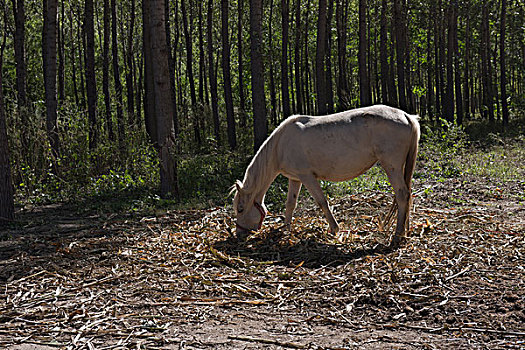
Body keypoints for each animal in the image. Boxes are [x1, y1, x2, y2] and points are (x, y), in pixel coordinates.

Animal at [231, 104, 420, 246]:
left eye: (240, 209)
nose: (239, 234)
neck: (280, 146)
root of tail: (405, 115)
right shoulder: (295, 178)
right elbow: (290, 204)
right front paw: (286, 230)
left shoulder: (307, 177)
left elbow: (322, 202)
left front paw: (334, 229)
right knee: (407, 195)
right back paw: (405, 230)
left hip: (391, 166)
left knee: (402, 194)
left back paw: (397, 235)